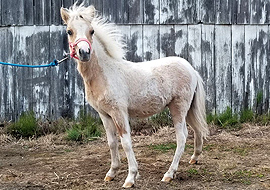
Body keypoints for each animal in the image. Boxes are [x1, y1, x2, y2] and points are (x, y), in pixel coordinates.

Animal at [60, 3, 209, 188]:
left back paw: (169, 174)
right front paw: (111, 173)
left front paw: (130, 178)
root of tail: (191, 69)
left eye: (92, 31)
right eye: (69, 31)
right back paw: (194, 158)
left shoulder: (119, 113)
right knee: (196, 129)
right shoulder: (104, 115)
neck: (105, 74)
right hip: (188, 109)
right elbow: (111, 142)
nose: (84, 52)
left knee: (182, 137)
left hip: (178, 108)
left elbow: (125, 142)